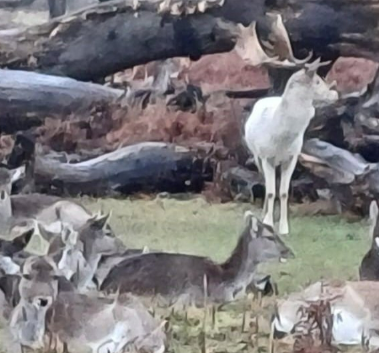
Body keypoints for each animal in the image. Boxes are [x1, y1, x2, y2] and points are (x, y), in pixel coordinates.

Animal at [100, 212, 294, 306]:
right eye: (269, 236)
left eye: (276, 233)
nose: (290, 252)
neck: (228, 281)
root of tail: (104, 283)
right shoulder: (201, 294)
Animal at [236, 15, 340, 234]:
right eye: (317, 81)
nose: (335, 94)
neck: (281, 138)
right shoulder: (266, 156)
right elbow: (269, 192)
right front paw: (268, 222)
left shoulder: (292, 157)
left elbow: (283, 192)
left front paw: (283, 227)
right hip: (256, 156)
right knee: (265, 184)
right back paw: (262, 215)